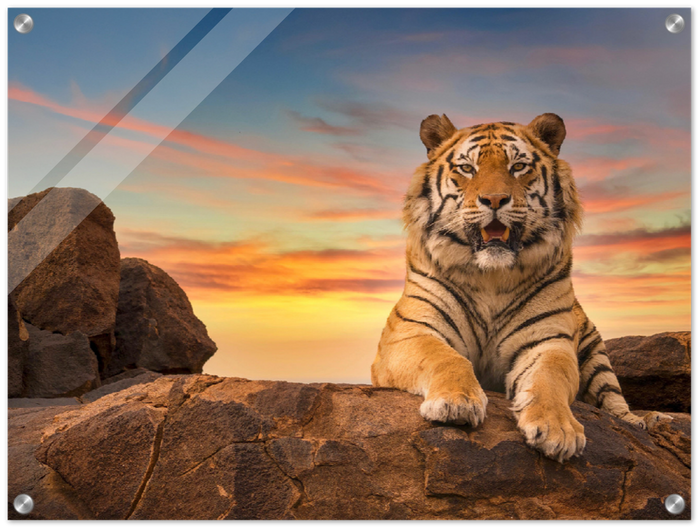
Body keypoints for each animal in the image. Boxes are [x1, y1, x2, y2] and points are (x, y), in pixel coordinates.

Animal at [371, 113, 670, 462]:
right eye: (467, 168)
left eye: (518, 166)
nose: (495, 200)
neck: (490, 277)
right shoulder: (410, 333)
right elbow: (446, 358)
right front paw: (456, 402)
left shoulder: (548, 342)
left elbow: (550, 378)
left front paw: (558, 430)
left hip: (597, 356)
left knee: (615, 403)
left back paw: (646, 421)